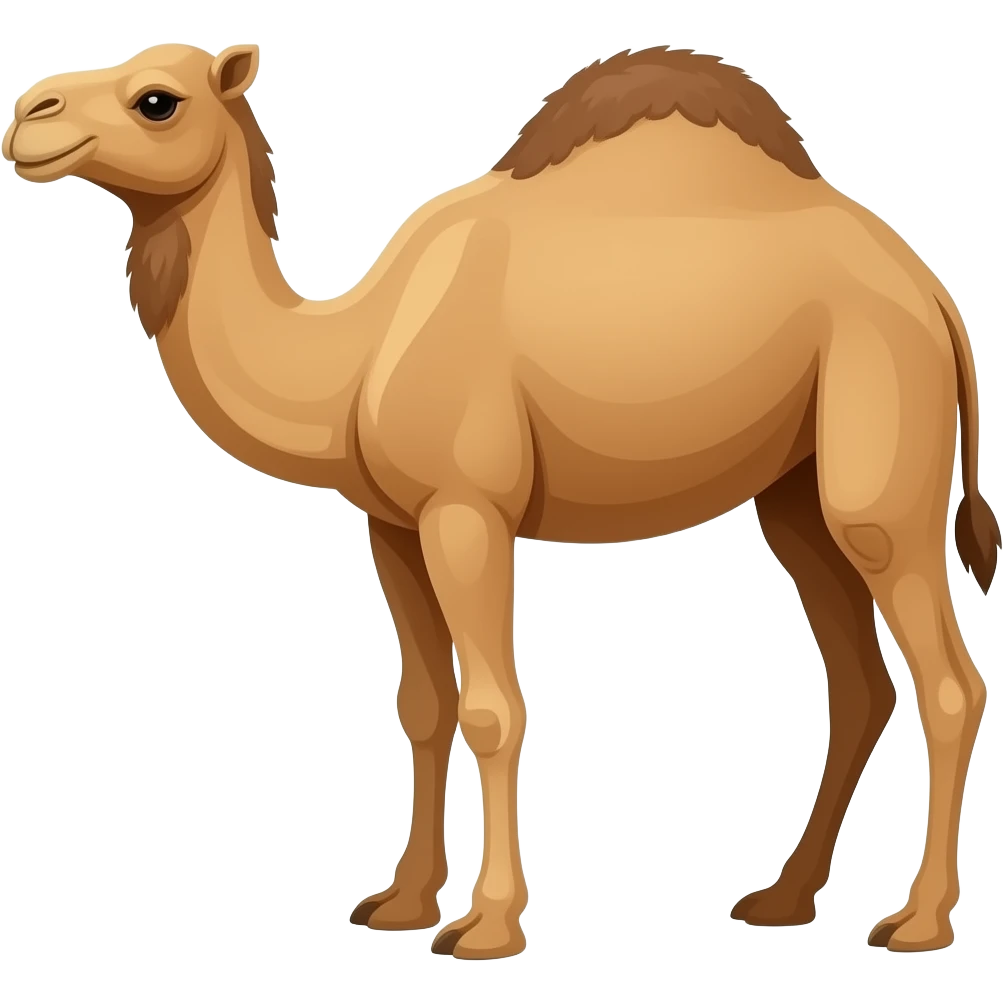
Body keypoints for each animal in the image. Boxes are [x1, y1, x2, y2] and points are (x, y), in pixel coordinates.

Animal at [3, 41, 997, 960]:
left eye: (156, 100)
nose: (27, 115)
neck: (352, 355)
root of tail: (933, 295)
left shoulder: (466, 508)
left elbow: (492, 706)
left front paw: (486, 925)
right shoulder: (392, 523)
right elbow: (422, 701)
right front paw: (400, 904)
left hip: (881, 453)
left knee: (948, 678)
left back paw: (916, 919)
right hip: (794, 492)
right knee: (859, 679)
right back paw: (782, 898)